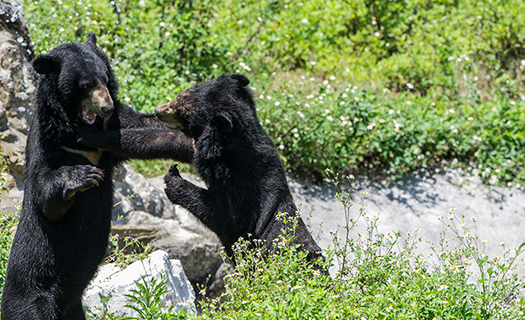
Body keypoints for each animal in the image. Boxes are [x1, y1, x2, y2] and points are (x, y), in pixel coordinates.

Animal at [0, 33, 194, 318]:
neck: (76, 132)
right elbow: (45, 196)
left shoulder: (113, 133)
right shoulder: (46, 143)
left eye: (105, 78)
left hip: (73, 308)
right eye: (86, 84)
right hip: (32, 294)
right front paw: (83, 176)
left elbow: (146, 129)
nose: (106, 107)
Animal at [154, 74, 322, 264]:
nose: (157, 110)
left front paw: (173, 179)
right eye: (180, 95)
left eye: (182, 111)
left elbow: (224, 216)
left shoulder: (246, 199)